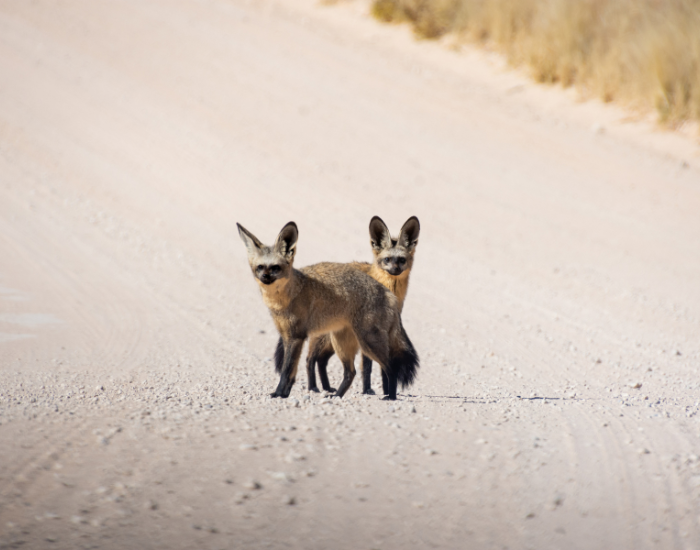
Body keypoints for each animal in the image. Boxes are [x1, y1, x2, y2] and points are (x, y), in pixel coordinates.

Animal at [237, 221, 419, 400]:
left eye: (275, 268)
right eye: (260, 267)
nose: (265, 277)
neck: (286, 298)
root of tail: (389, 294)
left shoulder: (296, 337)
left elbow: (286, 371)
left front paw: (278, 394)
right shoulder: (287, 336)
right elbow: (291, 372)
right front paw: (284, 394)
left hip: (366, 342)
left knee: (390, 368)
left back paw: (390, 397)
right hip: (341, 343)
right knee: (348, 372)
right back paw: (336, 395)